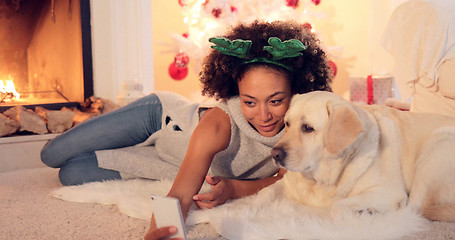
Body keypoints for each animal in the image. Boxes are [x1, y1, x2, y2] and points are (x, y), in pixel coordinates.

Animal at [272, 91, 455, 220]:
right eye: (287, 124)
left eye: (308, 128)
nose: (275, 154)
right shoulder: (285, 183)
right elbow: (268, 191)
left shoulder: (387, 191)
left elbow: (337, 206)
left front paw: (363, 212)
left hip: (436, 143)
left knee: (414, 207)